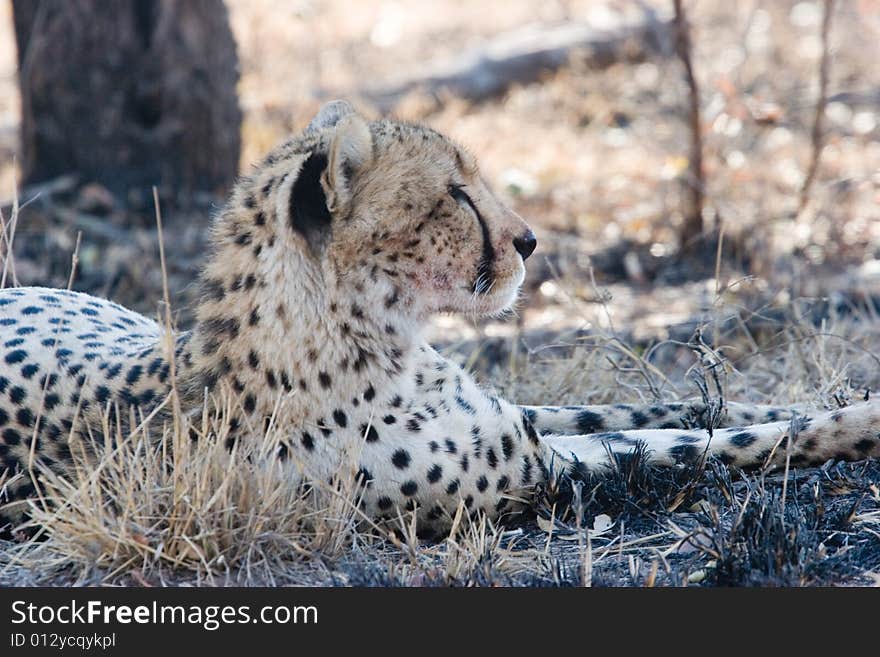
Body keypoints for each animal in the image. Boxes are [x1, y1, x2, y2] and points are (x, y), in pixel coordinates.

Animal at [0, 100, 876, 536]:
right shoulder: (535, 473)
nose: (529, 240)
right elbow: (710, 443)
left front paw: (810, 395)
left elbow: (648, 407)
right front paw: (852, 422)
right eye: (455, 192)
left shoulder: (519, 422)